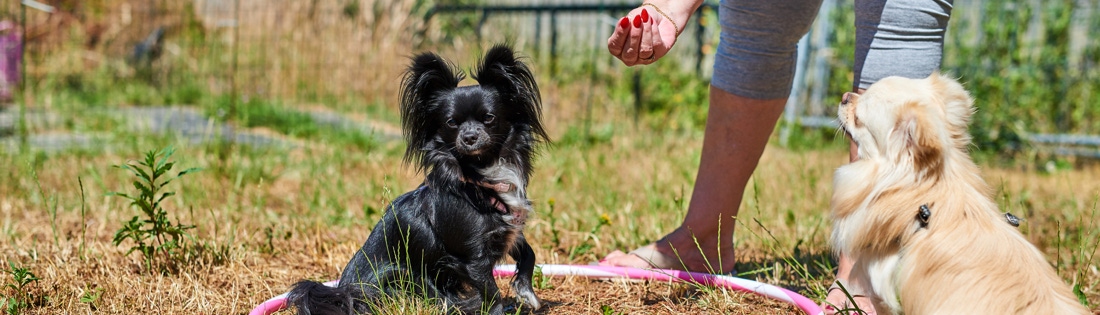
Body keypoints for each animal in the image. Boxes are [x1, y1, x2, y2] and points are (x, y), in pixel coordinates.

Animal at [286, 44, 547, 315]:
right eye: (451, 122)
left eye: (489, 118)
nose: (469, 137)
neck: (478, 176)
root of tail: (343, 290)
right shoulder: (472, 259)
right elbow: (491, 292)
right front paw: (498, 308)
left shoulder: (508, 231)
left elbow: (529, 253)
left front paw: (526, 291)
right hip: (400, 275)